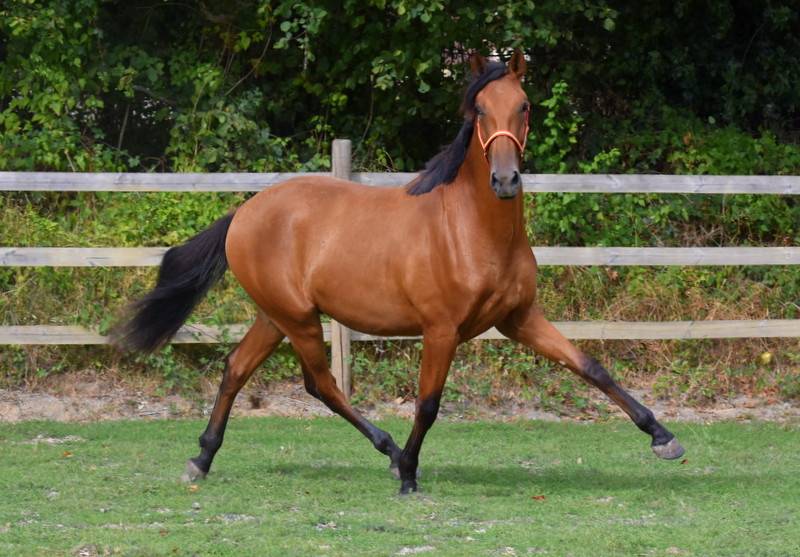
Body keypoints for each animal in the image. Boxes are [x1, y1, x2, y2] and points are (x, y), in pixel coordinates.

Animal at [113, 49, 684, 495]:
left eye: (523, 106)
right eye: (479, 108)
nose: (505, 180)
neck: (472, 231)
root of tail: (246, 211)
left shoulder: (519, 319)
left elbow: (590, 366)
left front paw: (663, 438)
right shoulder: (441, 329)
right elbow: (428, 403)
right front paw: (410, 474)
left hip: (275, 316)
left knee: (237, 368)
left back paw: (202, 458)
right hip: (298, 319)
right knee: (322, 384)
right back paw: (388, 454)